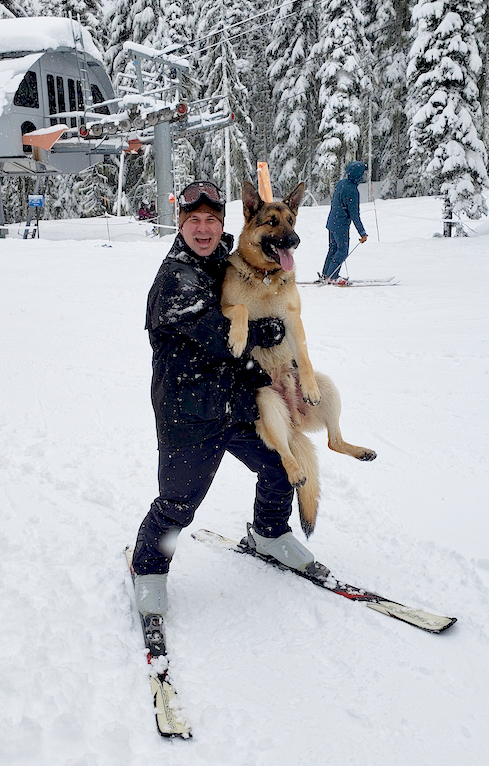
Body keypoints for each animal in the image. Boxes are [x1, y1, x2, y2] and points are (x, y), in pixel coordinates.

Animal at [221, 183, 378, 536]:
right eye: (272, 222)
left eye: (291, 221)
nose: (294, 240)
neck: (265, 276)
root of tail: (293, 419)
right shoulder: (224, 308)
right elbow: (242, 309)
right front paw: (238, 339)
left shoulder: (292, 321)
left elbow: (303, 356)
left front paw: (308, 388)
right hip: (267, 403)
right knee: (284, 451)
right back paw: (295, 471)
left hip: (330, 387)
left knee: (334, 441)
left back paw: (360, 451)